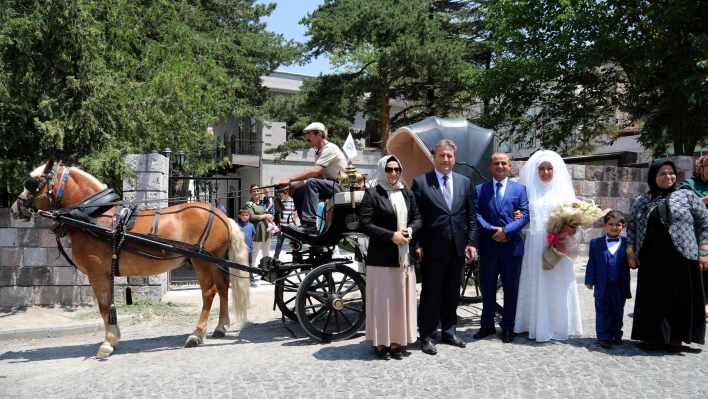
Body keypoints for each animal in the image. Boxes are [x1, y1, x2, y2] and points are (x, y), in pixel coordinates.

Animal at [9, 157, 250, 360]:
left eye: (33, 183)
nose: (14, 208)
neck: (94, 217)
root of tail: (221, 215)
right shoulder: (105, 273)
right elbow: (108, 305)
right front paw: (114, 338)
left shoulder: (97, 274)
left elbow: (104, 306)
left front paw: (107, 343)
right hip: (216, 261)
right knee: (223, 287)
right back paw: (220, 327)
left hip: (202, 262)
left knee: (209, 293)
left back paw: (197, 334)